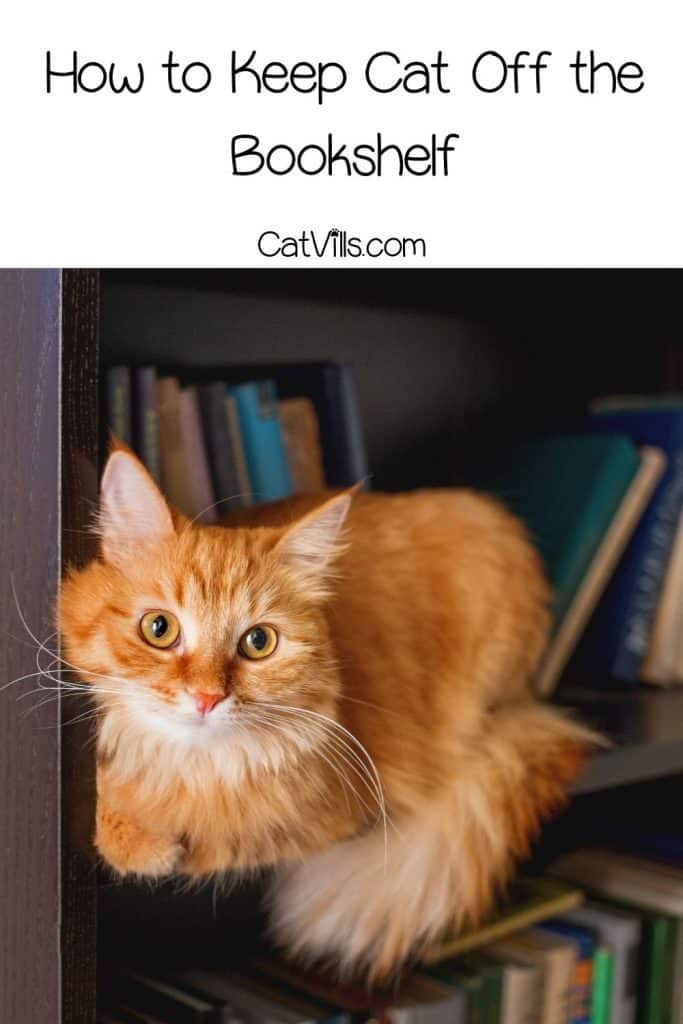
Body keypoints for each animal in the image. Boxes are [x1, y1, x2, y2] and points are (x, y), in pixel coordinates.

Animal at [58, 444, 593, 978]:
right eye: (159, 628)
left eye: (258, 642)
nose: (206, 698)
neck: (185, 766)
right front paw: (130, 829)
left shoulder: (315, 820)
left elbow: (214, 835)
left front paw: (148, 842)